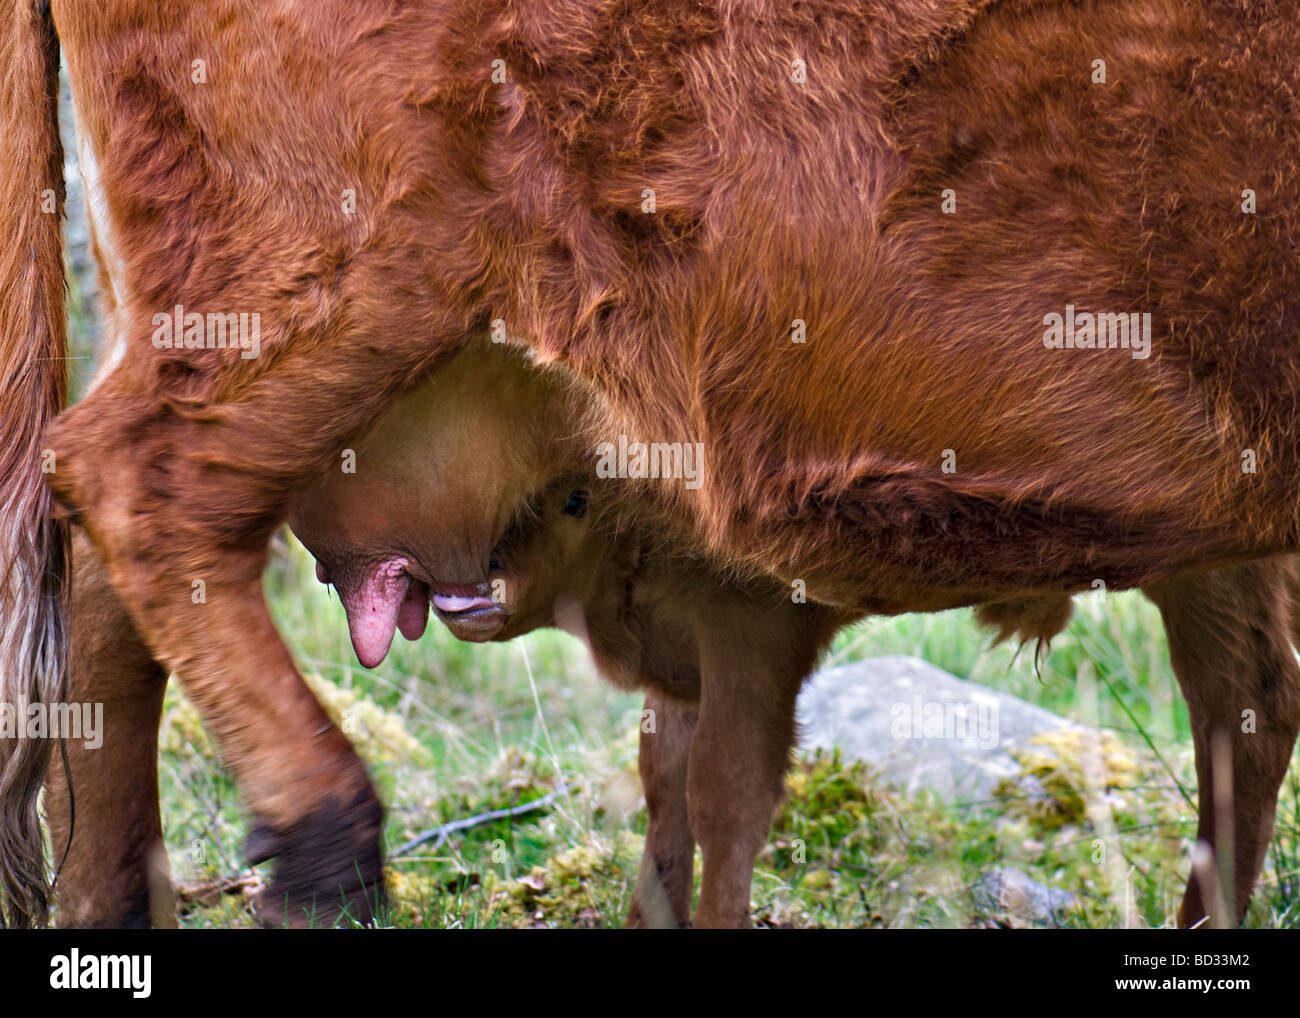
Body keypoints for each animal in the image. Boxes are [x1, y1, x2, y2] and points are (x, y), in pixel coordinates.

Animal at [2, 0, 1300, 925]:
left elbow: (1245, 712)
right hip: (326, 282)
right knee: (135, 481)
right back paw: (331, 850)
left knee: (101, 599)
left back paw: (119, 900)